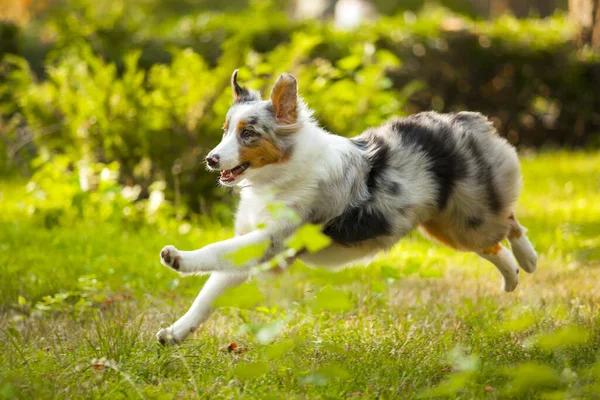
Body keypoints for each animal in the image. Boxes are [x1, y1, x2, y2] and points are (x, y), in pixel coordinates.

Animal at [156, 69, 540, 344]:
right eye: (225, 131)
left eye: (248, 134)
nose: (211, 159)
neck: (278, 176)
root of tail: (467, 119)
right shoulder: (251, 248)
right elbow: (209, 293)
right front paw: (176, 332)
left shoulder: (273, 241)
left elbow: (215, 250)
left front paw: (177, 258)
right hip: (445, 225)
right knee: (492, 245)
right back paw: (512, 277)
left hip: (471, 216)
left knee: (510, 222)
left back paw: (528, 259)